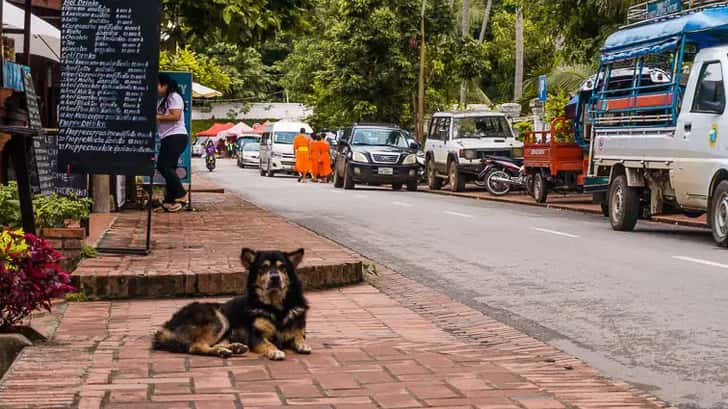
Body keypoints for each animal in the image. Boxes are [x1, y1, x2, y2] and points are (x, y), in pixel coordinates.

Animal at [152, 247, 312, 358]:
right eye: (264, 267)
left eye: (282, 267)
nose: (275, 278)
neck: (276, 307)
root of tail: (166, 327)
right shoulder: (256, 337)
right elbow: (268, 344)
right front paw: (275, 351)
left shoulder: (297, 330)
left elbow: (298, 337)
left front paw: (303, 345)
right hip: (219, 319)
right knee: (195, 346)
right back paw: (222, 351)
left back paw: (233, 348)